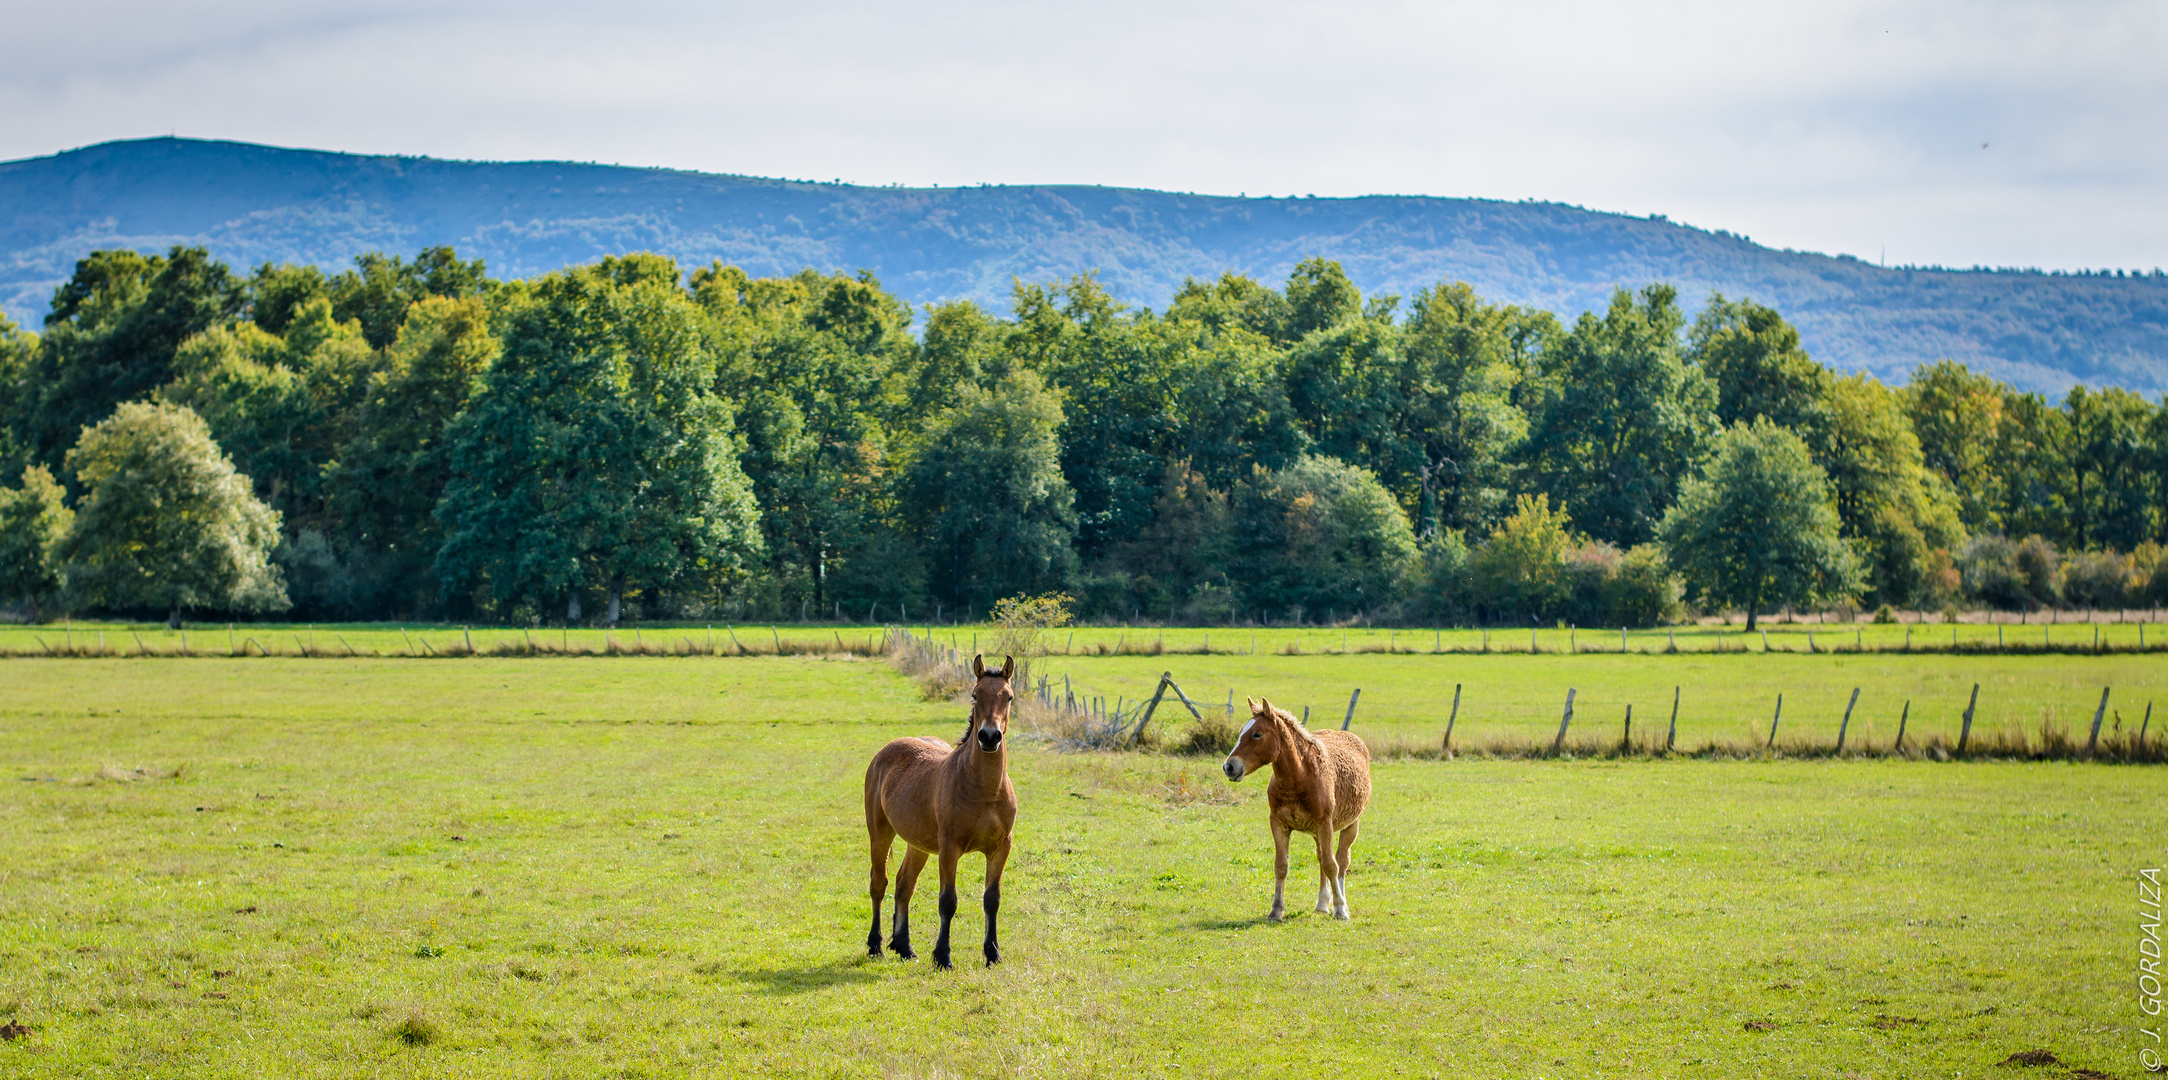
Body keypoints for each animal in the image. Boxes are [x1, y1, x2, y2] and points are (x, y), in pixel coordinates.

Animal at [862, 654, 1014, 967]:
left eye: (1009, 697)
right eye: (975, 695)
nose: (989, 737)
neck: (986, 791)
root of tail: (885, 751)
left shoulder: (1001, 847)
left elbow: (992, 899)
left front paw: (992, 953)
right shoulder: (949, 847)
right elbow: (948, 901)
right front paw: (943, 956)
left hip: (917, 844)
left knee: (904, 884)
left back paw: (904, 947)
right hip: (880, 833)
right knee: (879, 883)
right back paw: (876, 945)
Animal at [1222, 698, 1370, 919]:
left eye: (1257, 734)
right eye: (1241, 732)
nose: (1229, 767)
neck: (1301, 775)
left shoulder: (1325, 824)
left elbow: (1332, 865)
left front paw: (1340, 910)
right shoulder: (1278, 823)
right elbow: (1281, 866)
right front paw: (1276, 910)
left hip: (1350, 825)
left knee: (1341, 862)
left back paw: (1340, 903)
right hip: (1318, 833)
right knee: (1322, 858)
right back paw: (1322, 904)